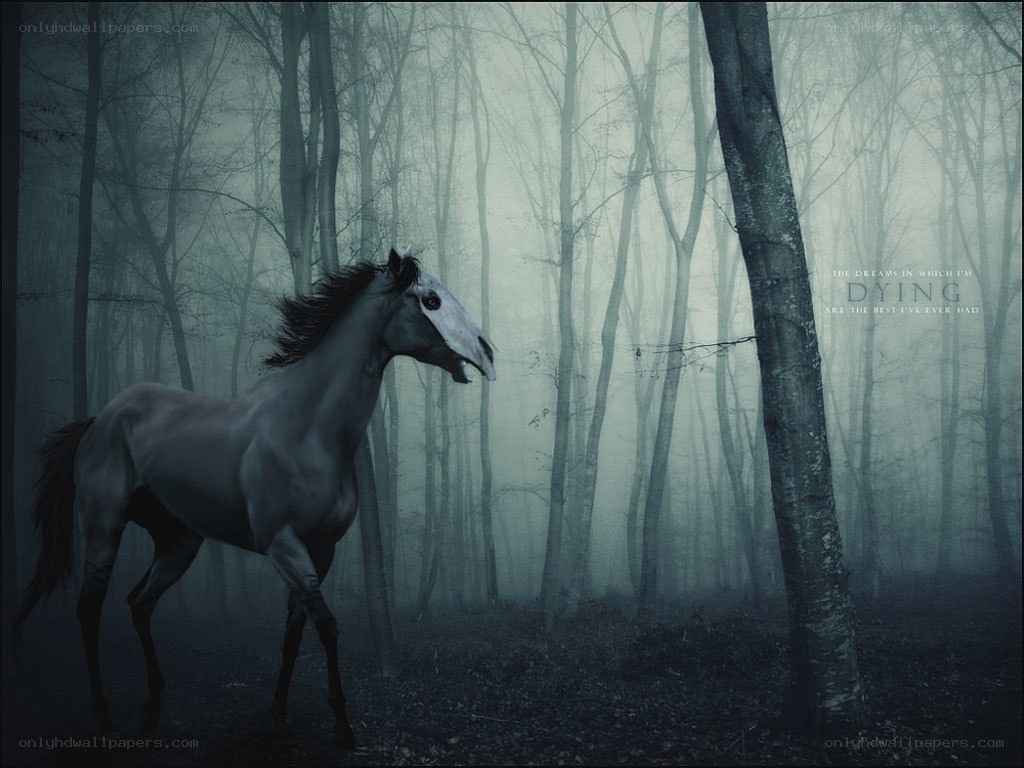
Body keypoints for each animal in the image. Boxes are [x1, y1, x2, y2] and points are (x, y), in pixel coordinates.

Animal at [11, 248, 496, 748]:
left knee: (139, 603)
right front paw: (341, 724)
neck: (309, 427)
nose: (487, 351)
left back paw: (152, 708)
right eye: (431, 300)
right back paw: (105, 715)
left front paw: (279, 716)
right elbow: (327, 625)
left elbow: (294, 631)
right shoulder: (282, 544)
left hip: (179, 542)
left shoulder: (321, 549)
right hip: (103, 528)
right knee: (89, 609)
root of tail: (100, 420)